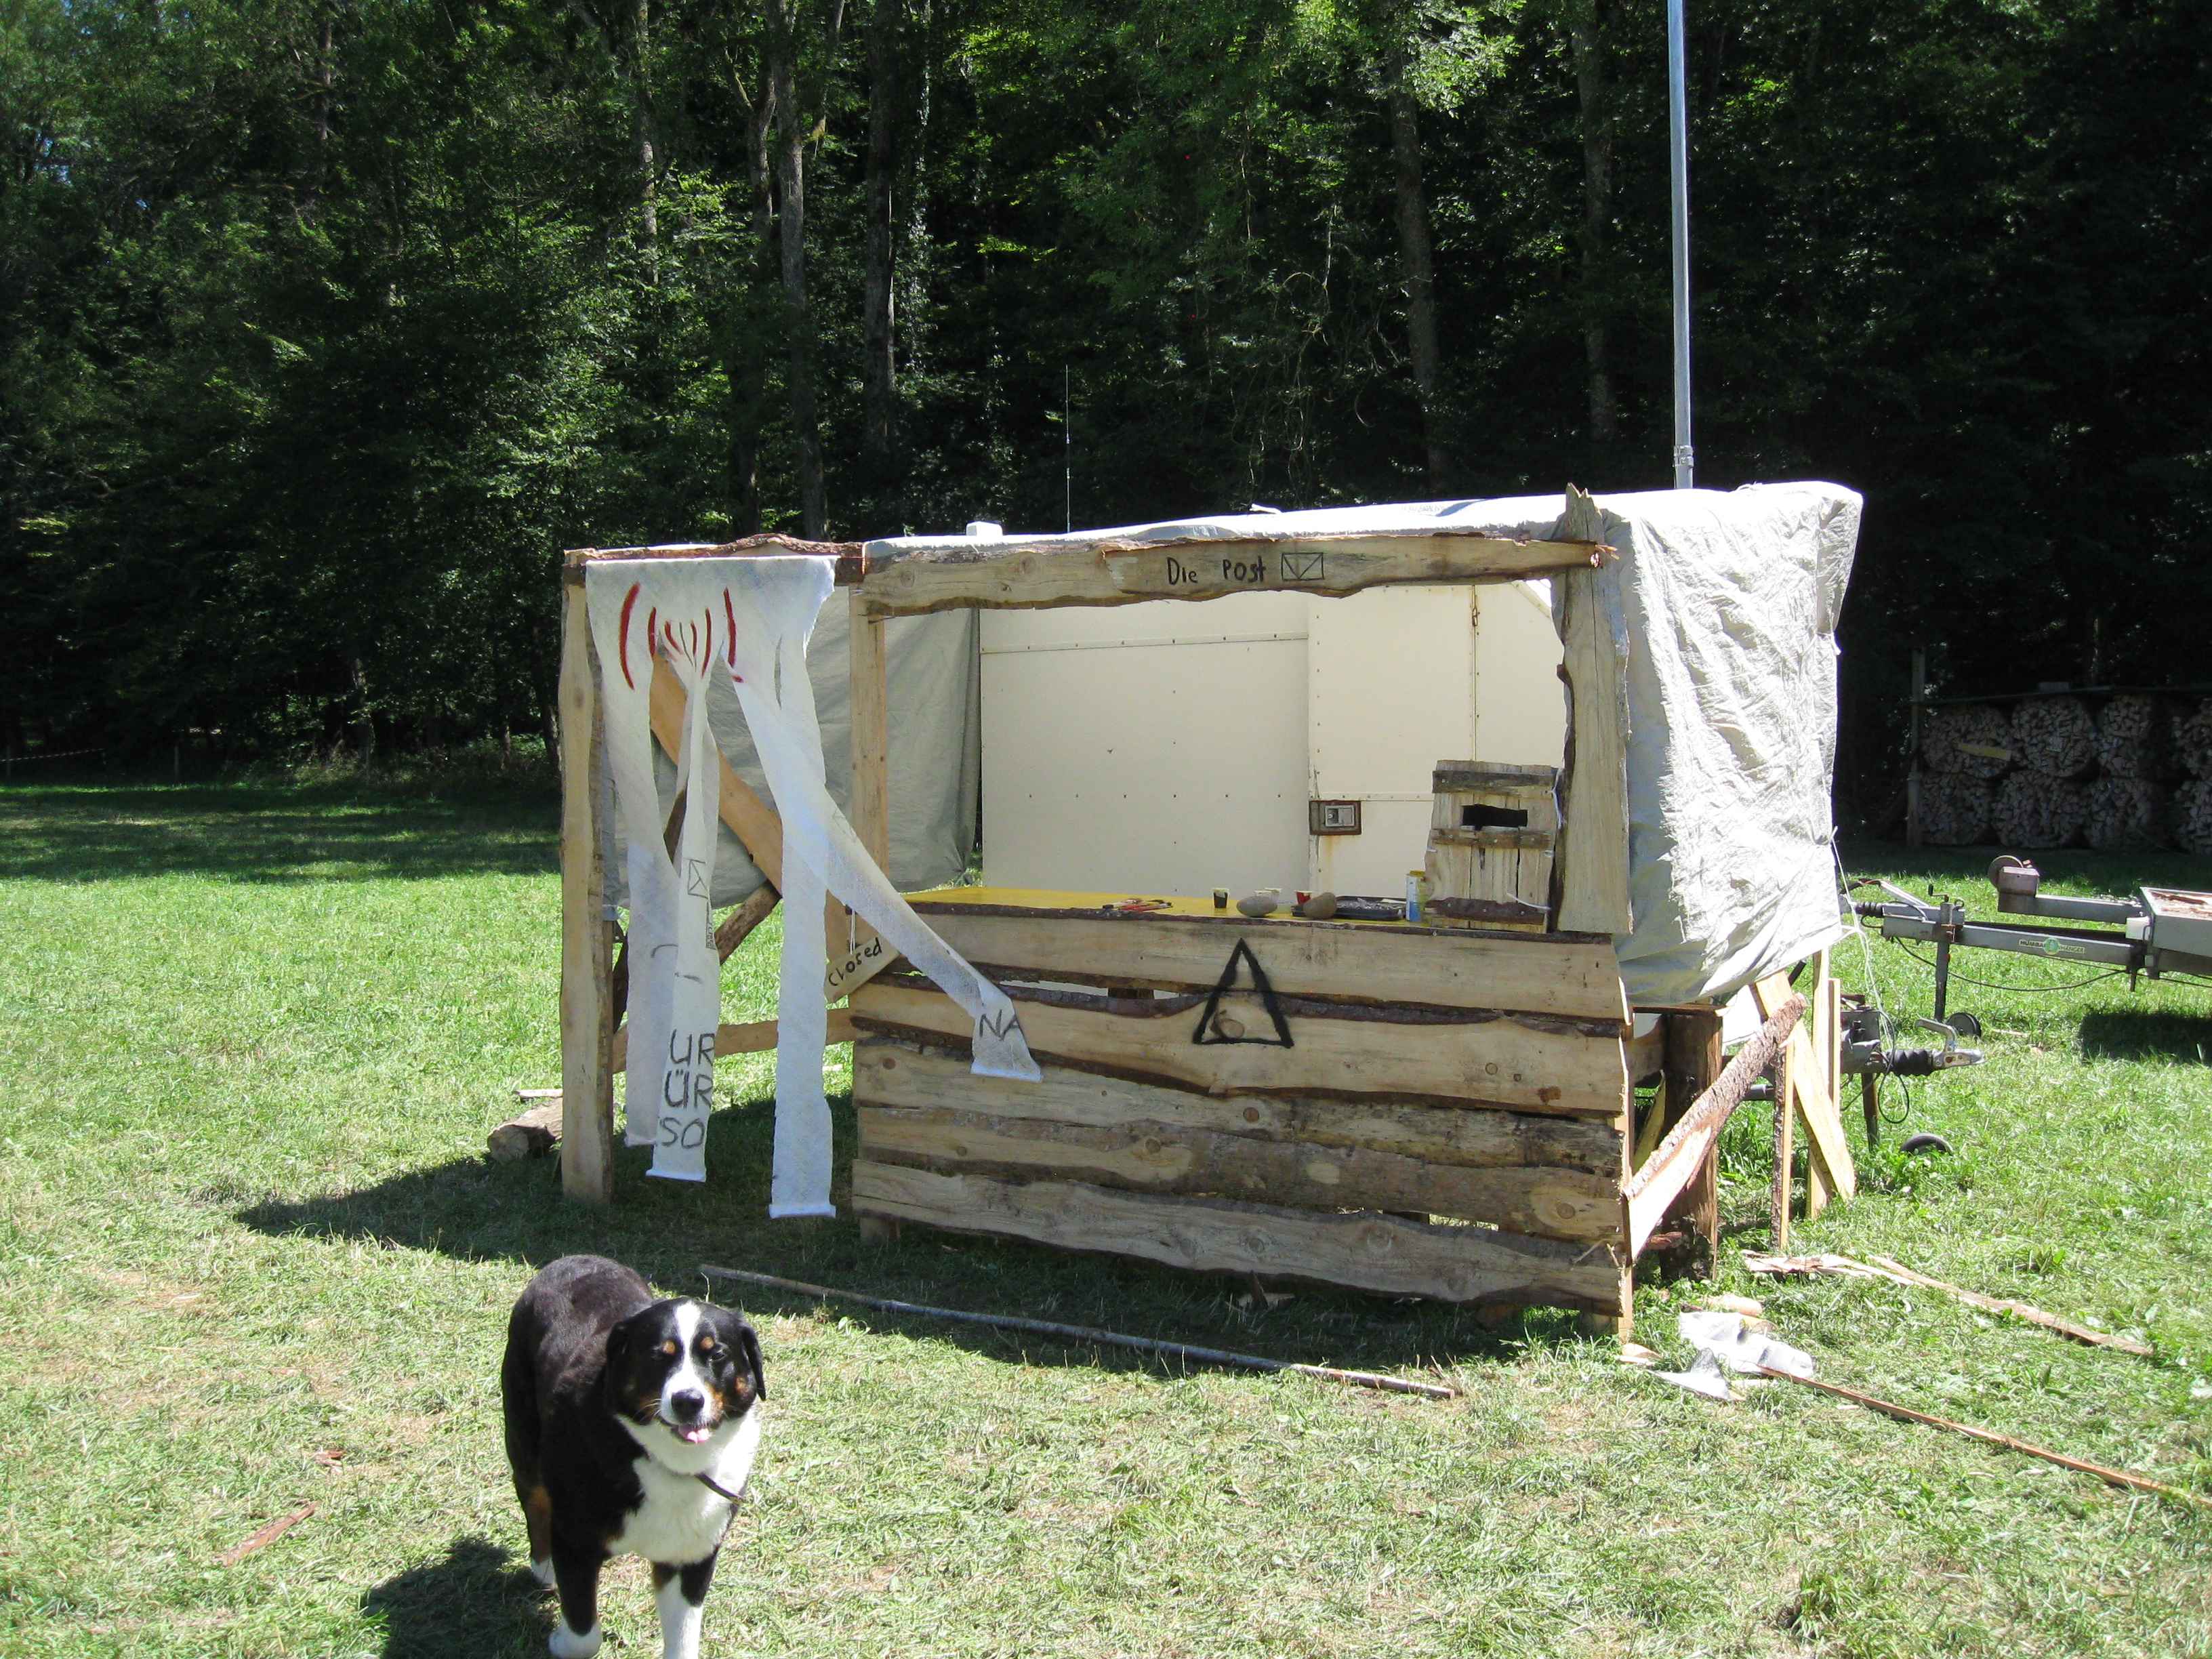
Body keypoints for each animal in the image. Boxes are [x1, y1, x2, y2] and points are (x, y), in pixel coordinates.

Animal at [504, 1256, 769, 1659]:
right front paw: (561, 1641)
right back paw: (544, 1569)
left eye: (717, 1354)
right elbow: (584, 1635)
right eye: (659, 1355)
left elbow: (683, 1643)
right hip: (524, 1442)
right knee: (535, 1502)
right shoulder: (575, 1542)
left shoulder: (691, 1557)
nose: (688, 1401)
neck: (663, 1460)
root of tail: (573, 1259)